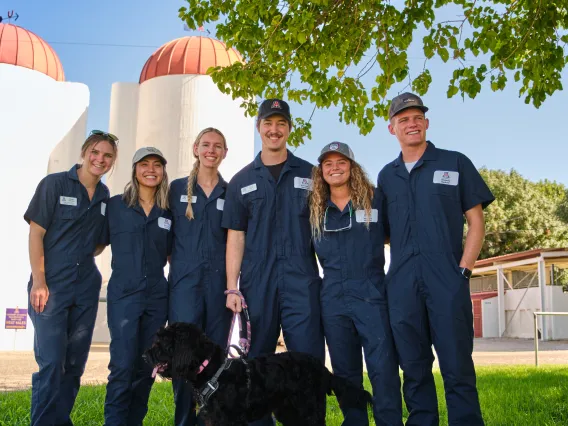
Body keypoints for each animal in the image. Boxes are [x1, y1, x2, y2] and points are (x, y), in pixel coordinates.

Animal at [145, 322, 372, 426]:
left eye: (163, 343)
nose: (144, 355)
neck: (213, 373)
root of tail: (323, 368)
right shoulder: (213, 419)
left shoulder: (231, 420)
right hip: (288, 411)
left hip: (310, 409)